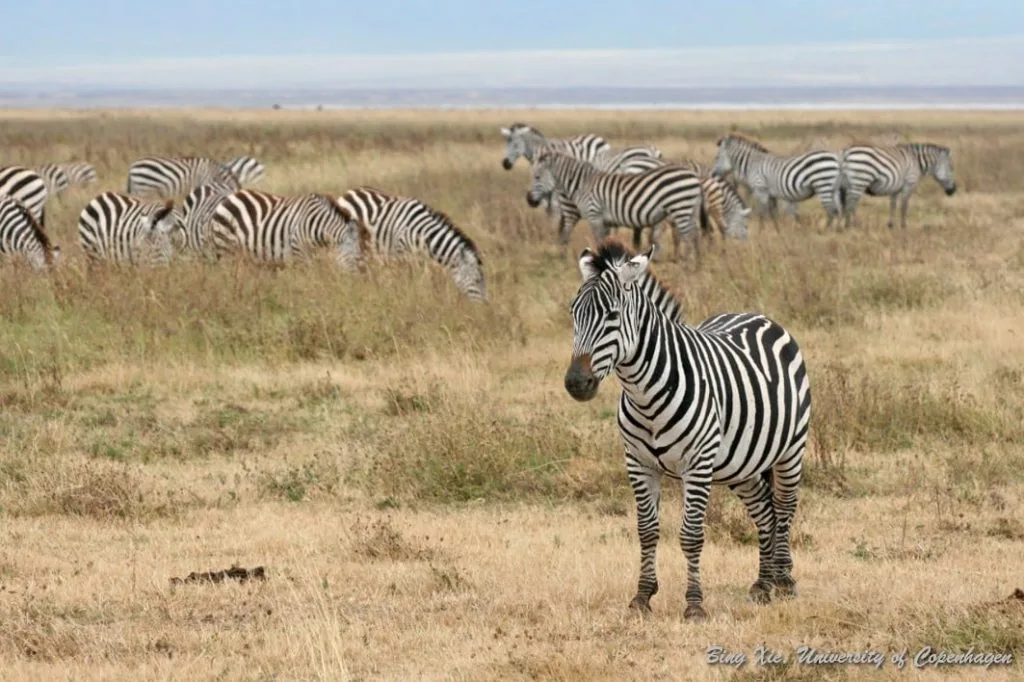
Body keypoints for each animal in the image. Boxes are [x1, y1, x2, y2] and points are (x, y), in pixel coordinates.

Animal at [211, 189, 363, 268]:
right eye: (355, 258)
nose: (359, 284)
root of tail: (231, 196)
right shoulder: (300, 254)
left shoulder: (314, 256)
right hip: (225, 249)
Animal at [337, 186, 487, 302]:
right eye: (476, 280)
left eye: (483, 281)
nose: (484, 308)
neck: (422, 233)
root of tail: (348, 192)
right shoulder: (402, 254)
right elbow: (407, 279)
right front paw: (406, 296)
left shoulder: (422, 258)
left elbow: (428, 279)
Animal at [527, 150, 705, 264]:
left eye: (537, 177)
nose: (529, 200)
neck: (583, 184)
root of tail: (694, 176)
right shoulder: (605, 221)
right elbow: (606, 241)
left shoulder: (595, 215)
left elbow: (599, 241)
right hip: (688, 209)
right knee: (695, 234)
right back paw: (697, 263)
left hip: (680, 207)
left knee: (688, 236)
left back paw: (686, 264)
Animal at [563, 240, 811, 620]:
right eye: (573, 314)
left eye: (612, 316)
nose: (577, 383)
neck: (645, 394)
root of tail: (757, 316)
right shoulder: (638, 463)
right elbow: (647, 530)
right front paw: (642, 597)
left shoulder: (697, 463)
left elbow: (691, 535)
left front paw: (694, 605)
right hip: (741, 464)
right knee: (764, 510)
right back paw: (763, 584)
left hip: (790, 449)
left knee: (784, 507)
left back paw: (784, 581)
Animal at [711, 133, 841, 232]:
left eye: (716, 157)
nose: (713, 174)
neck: (753, 164)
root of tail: (834, 156)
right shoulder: (771, 194)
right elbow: (773, 213)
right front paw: (778, 231)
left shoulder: (761, 189)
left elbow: (762, 213)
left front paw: (761, 232)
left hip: (824, 185)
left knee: (831, 211)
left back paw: (825, 232)